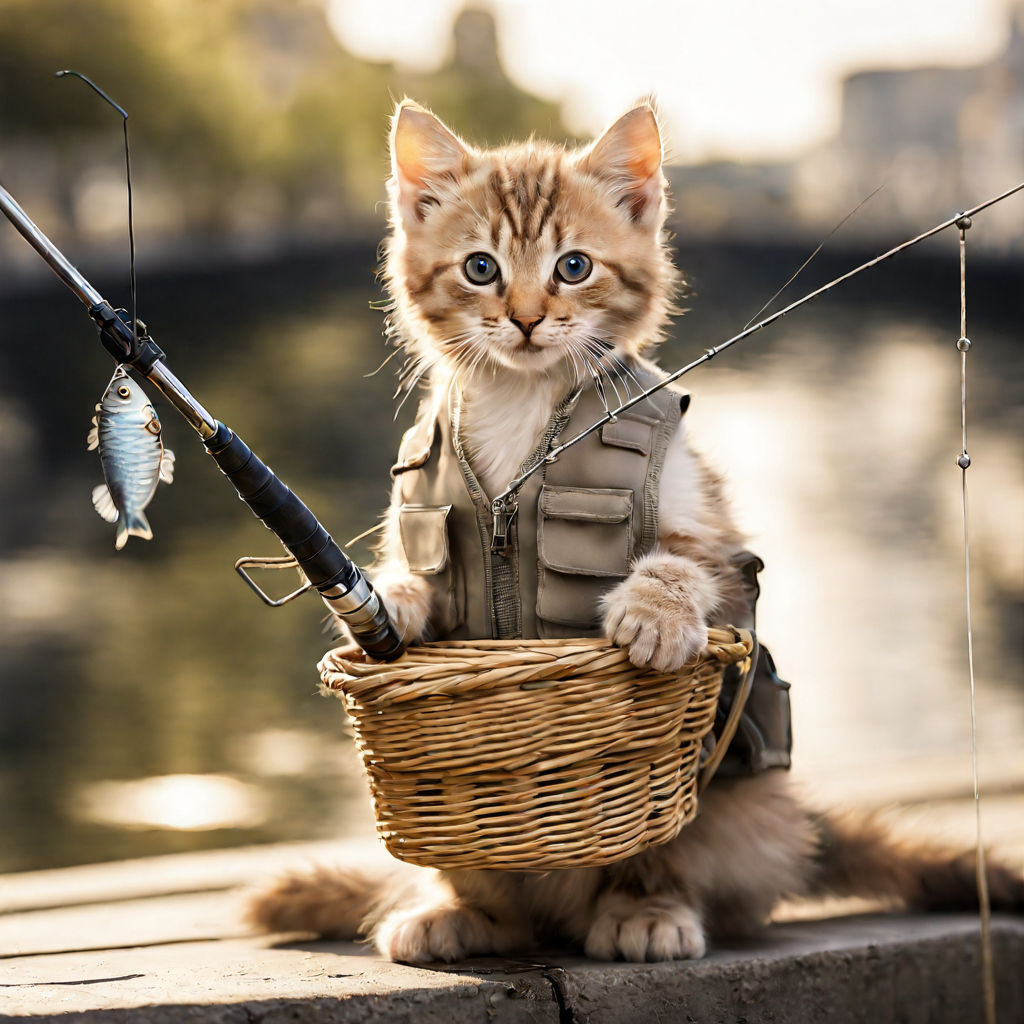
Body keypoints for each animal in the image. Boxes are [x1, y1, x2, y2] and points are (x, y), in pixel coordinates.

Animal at [247, 99, 1024, 954]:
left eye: (574, 268)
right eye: (480, 268)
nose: (526, 319)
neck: (526, 401)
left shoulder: (714, 530)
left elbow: (693, 564)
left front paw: (653, 616)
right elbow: (416, 589)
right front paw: (386, 606)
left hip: (728, 810)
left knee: (674, 848)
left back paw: (646, 909)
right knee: (490, 888)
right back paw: (461, 913)